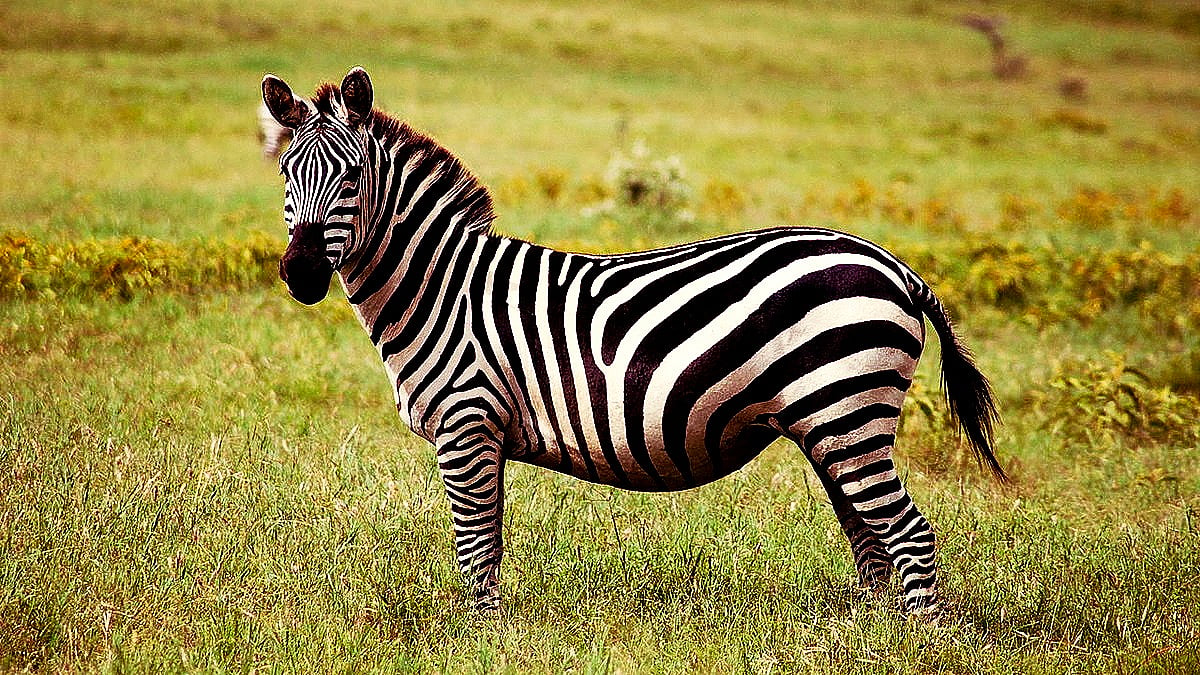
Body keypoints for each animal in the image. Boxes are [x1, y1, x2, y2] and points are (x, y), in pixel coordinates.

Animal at [260, 67, 1004, 616]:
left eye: (352, 178)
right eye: (286, 176)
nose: (300, 274)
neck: (442, 286)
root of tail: (896, 266)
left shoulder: (467, 423)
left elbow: (476, 546)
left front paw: (482, 636)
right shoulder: (482, 431)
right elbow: (487, 540)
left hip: (847, 409)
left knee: (907, 532)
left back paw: (915, 641)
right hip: (830, 423)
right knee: (870, 535)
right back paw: (869, 635)